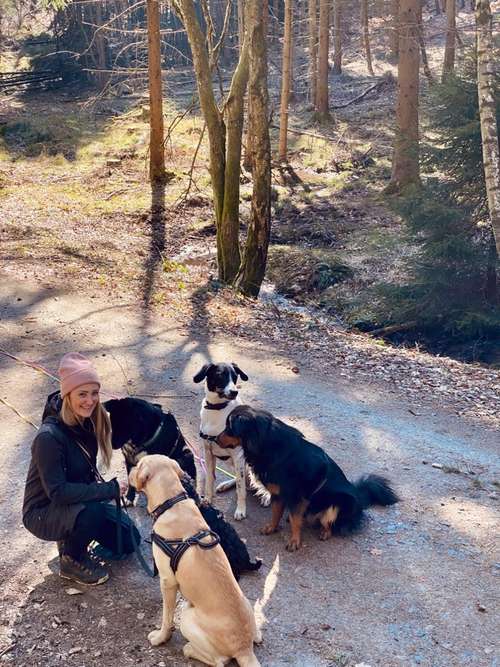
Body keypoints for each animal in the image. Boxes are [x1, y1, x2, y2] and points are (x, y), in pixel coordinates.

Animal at [192, 360, 270, 520]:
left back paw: (266, 495)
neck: (217, 409)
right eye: (220, 375)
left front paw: (240, 510)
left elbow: (241, 490)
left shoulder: (238, 455)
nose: (235, 392)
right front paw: (208, 499)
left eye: (235, 377)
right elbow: (210, 479)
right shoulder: (208, 453)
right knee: (244, 480)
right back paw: (227, 484)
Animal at [217, 408, 400, 552]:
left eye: (229, 428)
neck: (268, 446)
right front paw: (272, 528)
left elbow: (296, 520)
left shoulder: (297, 497)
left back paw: (325, 532)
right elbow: (276, 513)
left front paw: (294, 541)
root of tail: (359, 498)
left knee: (328, 523)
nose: (213, 438)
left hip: (338, 502)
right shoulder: (278, 494)